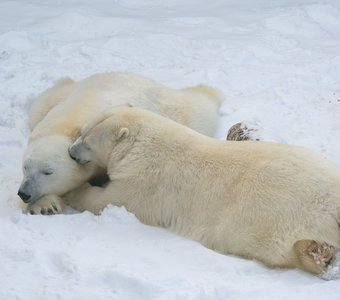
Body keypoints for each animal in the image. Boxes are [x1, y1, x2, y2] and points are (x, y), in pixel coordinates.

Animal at [17, 72, 223, 213]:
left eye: (48, 171)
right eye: (25, 167)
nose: (24, 193)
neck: (71, 121)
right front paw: (44, 206)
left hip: (177, 108)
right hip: (51, 101)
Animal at [66, 106, 340, 278]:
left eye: (87, 141)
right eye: (82, 131)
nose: (70, 151)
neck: (140, 145)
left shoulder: (141, 182)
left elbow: (108, 201)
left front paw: (74, 192)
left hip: (271, 221)